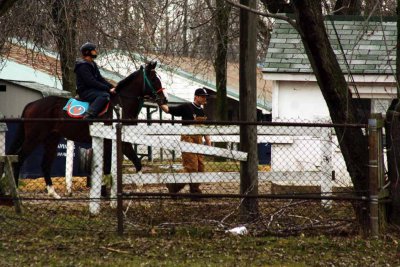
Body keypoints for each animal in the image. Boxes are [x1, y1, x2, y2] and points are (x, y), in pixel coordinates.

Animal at [7, 61, 168, 199]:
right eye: (154, 79)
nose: (164, 100)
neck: (121, 104)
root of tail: (32, 104)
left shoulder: (121, 142)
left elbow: (133, 162)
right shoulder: (113, 142)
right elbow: (112, 166)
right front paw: (107, 192)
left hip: (51, 140)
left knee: (45, 164)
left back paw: (53, 193)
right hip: (34, 138)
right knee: (19, 159)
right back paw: (16, 192)